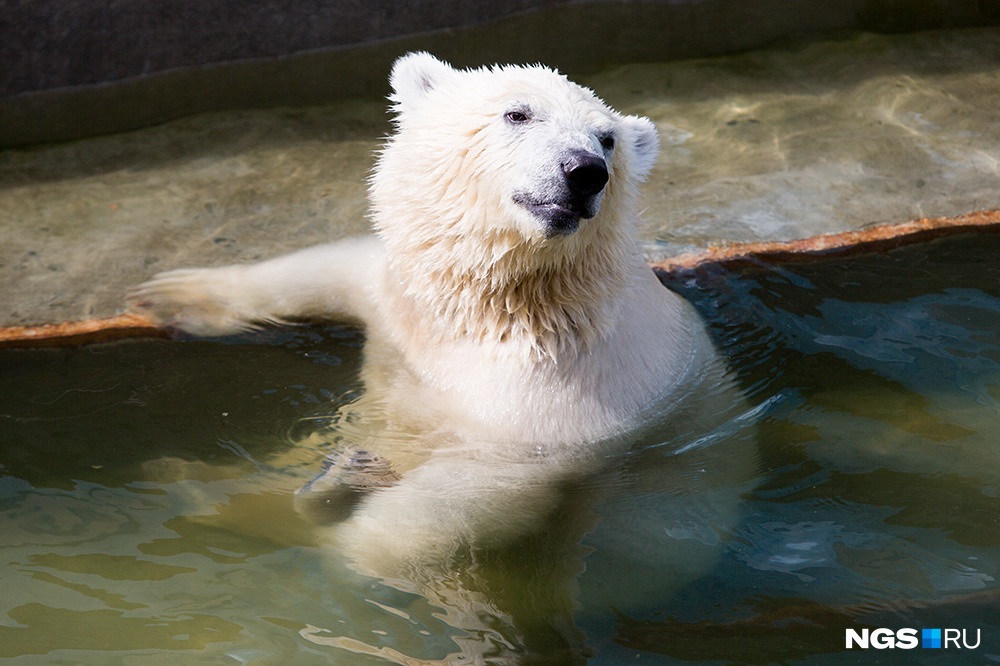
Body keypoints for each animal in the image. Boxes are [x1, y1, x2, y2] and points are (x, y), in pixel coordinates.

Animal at [125, 54, 752, 660]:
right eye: (518, 113)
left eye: (608, 140)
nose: (584, 172)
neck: (502, 306)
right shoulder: (402, 300)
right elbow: (330, 269)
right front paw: (171, 295)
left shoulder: (568, 385)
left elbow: (471, 488)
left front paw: (347, 517)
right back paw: (188, 476)